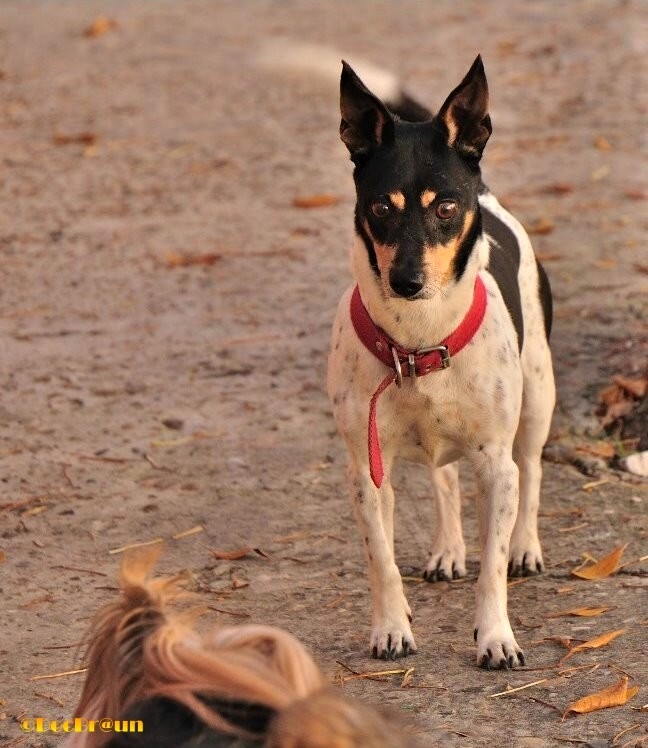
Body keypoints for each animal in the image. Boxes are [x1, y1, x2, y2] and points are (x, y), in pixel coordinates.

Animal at [326, 55, 556, 668]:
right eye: (381, 207)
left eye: (447, 208)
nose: (407, 281)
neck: (417, 342)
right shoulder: (366, 472)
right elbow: (381, 560)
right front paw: (390, 628)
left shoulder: (495, 466)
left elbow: (492, 567)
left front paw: (496, 636)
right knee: (443, 478)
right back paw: (448, 549)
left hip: (537, 397)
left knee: (533, 470)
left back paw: (526, 547)